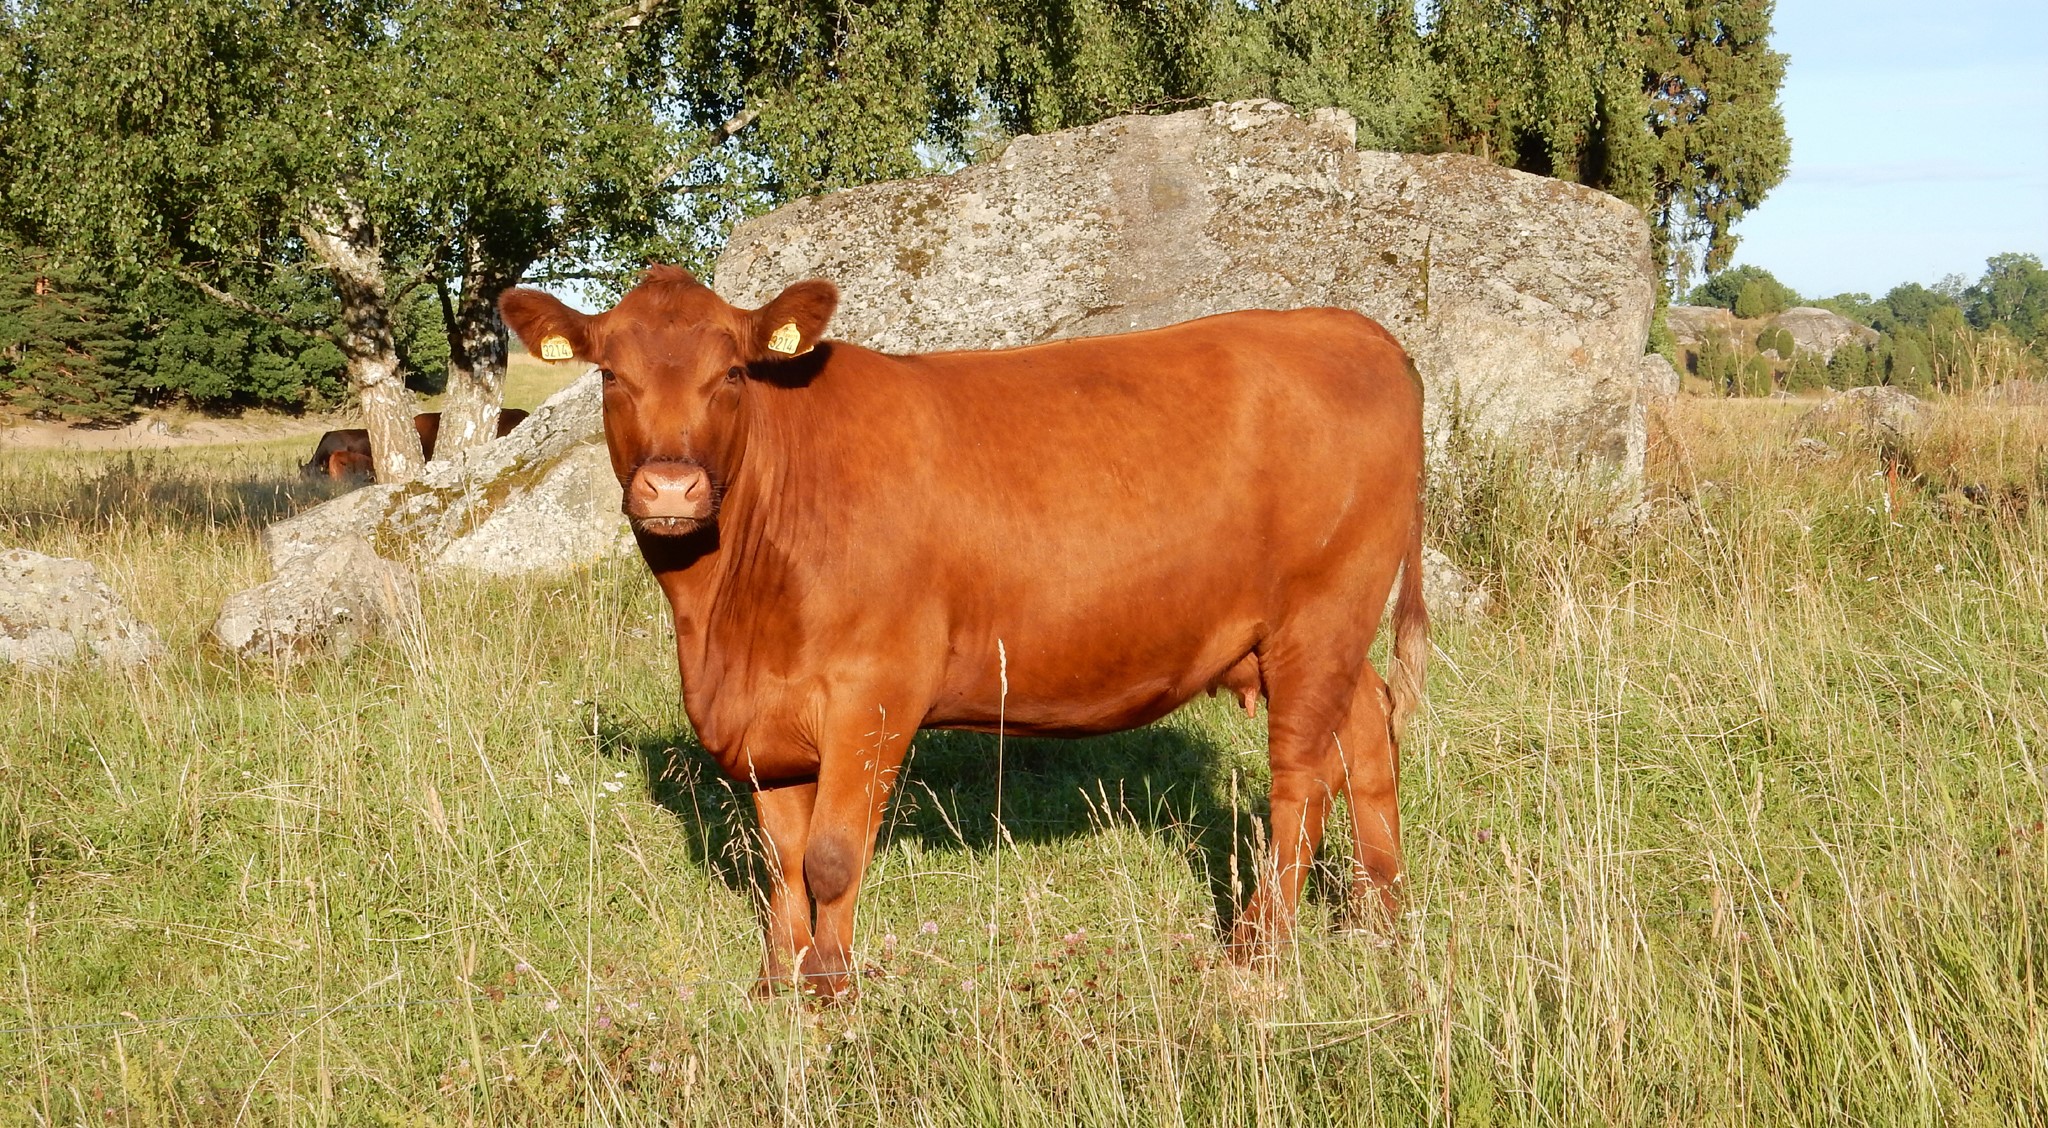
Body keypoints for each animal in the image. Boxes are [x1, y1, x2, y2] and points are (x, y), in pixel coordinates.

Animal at [500, 266, 1428, 1000]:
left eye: (730, 372)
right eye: (610, 375)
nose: (671, 488)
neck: (722, 622)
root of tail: (1349, 328)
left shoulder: (875, 693)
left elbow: (830, 856)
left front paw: (830, 990)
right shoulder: (767, 718)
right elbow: (782, 862)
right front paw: (776, 982)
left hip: (1321, 616)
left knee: (1301, 779)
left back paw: (1256, 951)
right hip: (1321, 638)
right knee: (1366, 733)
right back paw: (1378, 918)